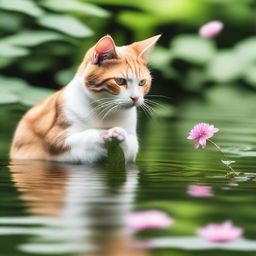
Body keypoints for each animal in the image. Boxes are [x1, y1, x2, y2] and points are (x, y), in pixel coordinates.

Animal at [10, 34, 160, 163]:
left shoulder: (131, 148)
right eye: (120, 81)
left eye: (142, 82)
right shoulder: (57, 140)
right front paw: (106, 133)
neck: (104, 110)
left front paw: (119, 134)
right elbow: (84, 138)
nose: (135, 98)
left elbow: (130, 148)